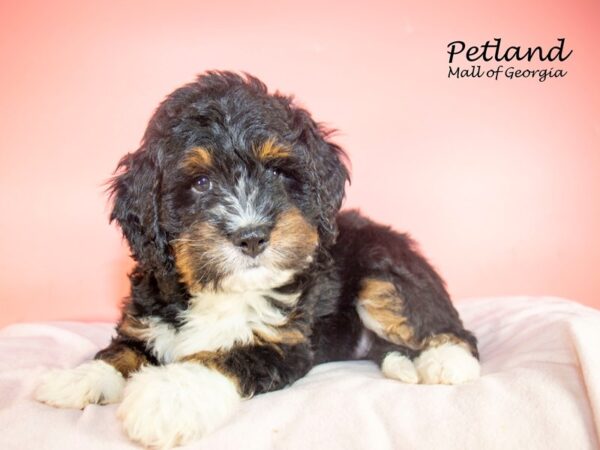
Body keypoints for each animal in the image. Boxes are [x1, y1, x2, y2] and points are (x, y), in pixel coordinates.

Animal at [35, 70, 480, 446]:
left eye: (279, 173)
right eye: (201, 183)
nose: (251, 237)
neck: (225, 291)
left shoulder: (282, 342)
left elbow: (224, 356)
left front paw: (167, 396)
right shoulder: (146, 318)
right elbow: (122, 351)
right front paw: (78, 378)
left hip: (383, 277)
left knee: (453, 330)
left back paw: (445, 362)